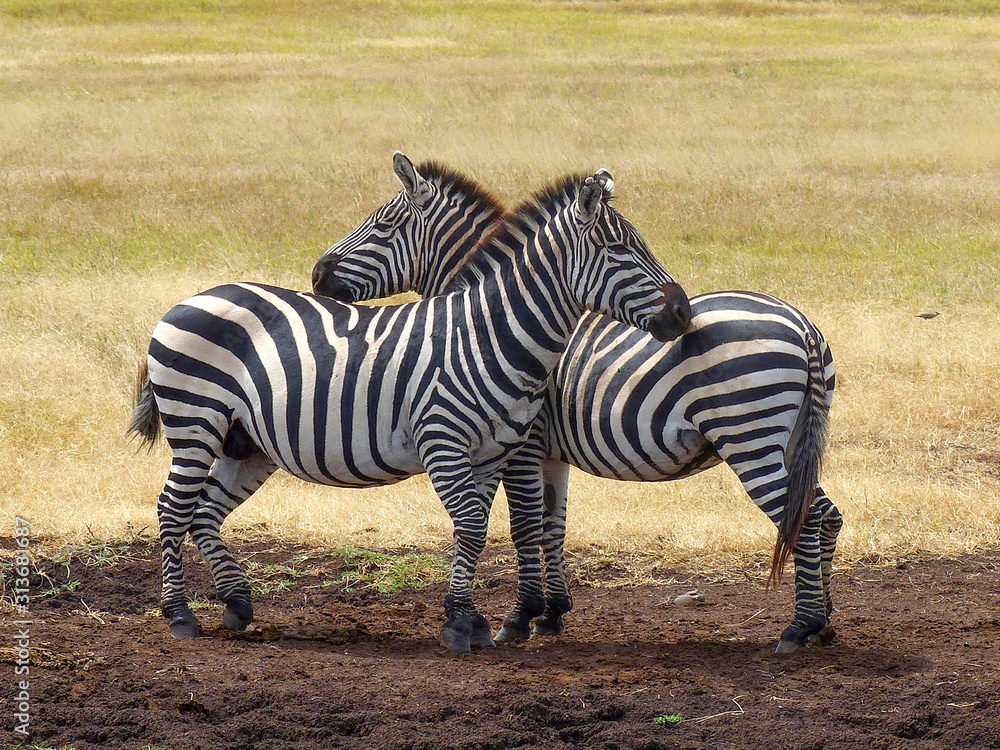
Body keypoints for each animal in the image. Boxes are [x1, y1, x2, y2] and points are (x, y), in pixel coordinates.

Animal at [129, 162, 692, 654]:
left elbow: (483, 528)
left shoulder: (496, 452)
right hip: (196, 422)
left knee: (204, 511)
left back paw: (237, 604)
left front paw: (484, 619)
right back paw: (180, 615)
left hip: (245, 443)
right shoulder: (447, 441)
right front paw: (471, 621)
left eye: (382, 223)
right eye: (617, 249)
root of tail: (194, 298)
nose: (683, 312)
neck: (491, 334)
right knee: (173, 507)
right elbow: (487, 525)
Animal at [312, 157, 842, 653]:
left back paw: (799, 627)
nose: (318, 274)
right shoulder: (551, 453)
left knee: (803, 518)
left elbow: (524, 525)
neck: (499, 325)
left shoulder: (521, 446)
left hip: (748, 437)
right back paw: (824, 621)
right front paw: (553, 613)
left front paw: (520, 617)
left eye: (382, 224)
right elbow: (553, 526)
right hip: (792, 440)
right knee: (826, 514)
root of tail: (802, 325)